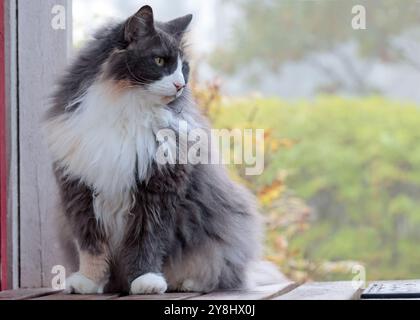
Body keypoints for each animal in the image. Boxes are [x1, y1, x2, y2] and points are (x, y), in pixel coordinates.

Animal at [44, 5, 264, 296]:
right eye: (159, 61)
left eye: (183, 67)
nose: (180, 84)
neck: (127, 108)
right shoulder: (79, 191)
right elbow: (91, 245)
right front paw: (88, 282)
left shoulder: (158, 189)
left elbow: (146, 240)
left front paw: (146, 281)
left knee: (220, 271)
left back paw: (186, 282)